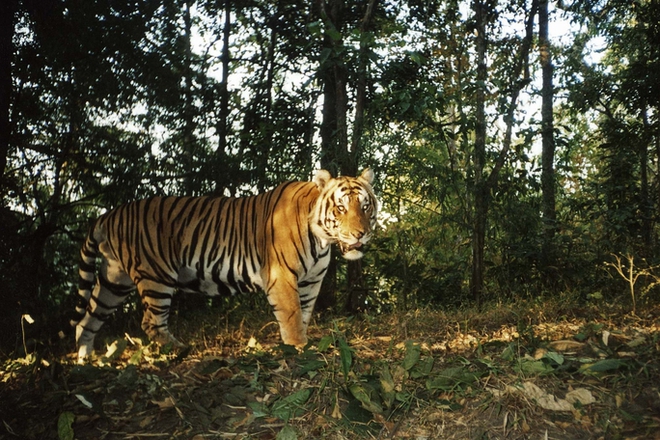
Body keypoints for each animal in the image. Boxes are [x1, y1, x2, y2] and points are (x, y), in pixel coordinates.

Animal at [71, 170, 376, 360]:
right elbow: (291, 316)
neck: (322, 240)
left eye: (365, 206)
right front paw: (299, 347)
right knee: (151, 322)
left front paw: (300, 342)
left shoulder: (311, 282)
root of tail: (109, 214)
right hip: (155, 276)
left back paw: (86, 360)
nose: (360, 234)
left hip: (114, 281)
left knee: (87, 319)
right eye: (340, 208)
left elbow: (303, 314)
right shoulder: (282, 277)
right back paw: (180, 349)